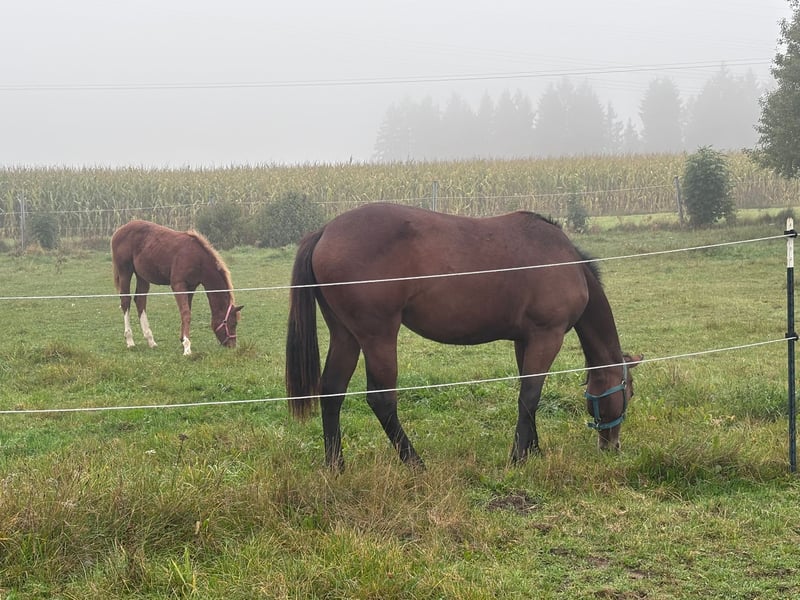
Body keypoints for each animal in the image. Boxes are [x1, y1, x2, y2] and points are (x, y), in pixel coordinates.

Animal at [111, 220, 242, 356]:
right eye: (233, 323)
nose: (232, 346)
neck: (197, 258)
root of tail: (119, 231)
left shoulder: (191, 286)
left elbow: (186, 311)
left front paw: (183, 339)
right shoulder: (178, 285)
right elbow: (186, 313)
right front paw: (187, 347)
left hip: (142, 275)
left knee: (140, 301)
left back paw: (151, 340)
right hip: (125, 271)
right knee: (125, 301)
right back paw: (130, 341)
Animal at [285, 203, 641, 471]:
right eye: (629, 392)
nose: (612, 446)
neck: (566, 261)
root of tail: (325, 231)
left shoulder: (525, 340)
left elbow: (530, 397)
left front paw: (533, 451)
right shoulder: (546, 337)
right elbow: (529, 396)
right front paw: (517, 458)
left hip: (346, 336)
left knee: (332, 392)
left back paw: (336, 466)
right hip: (378, 336)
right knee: (381, 399)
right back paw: (415, 463)